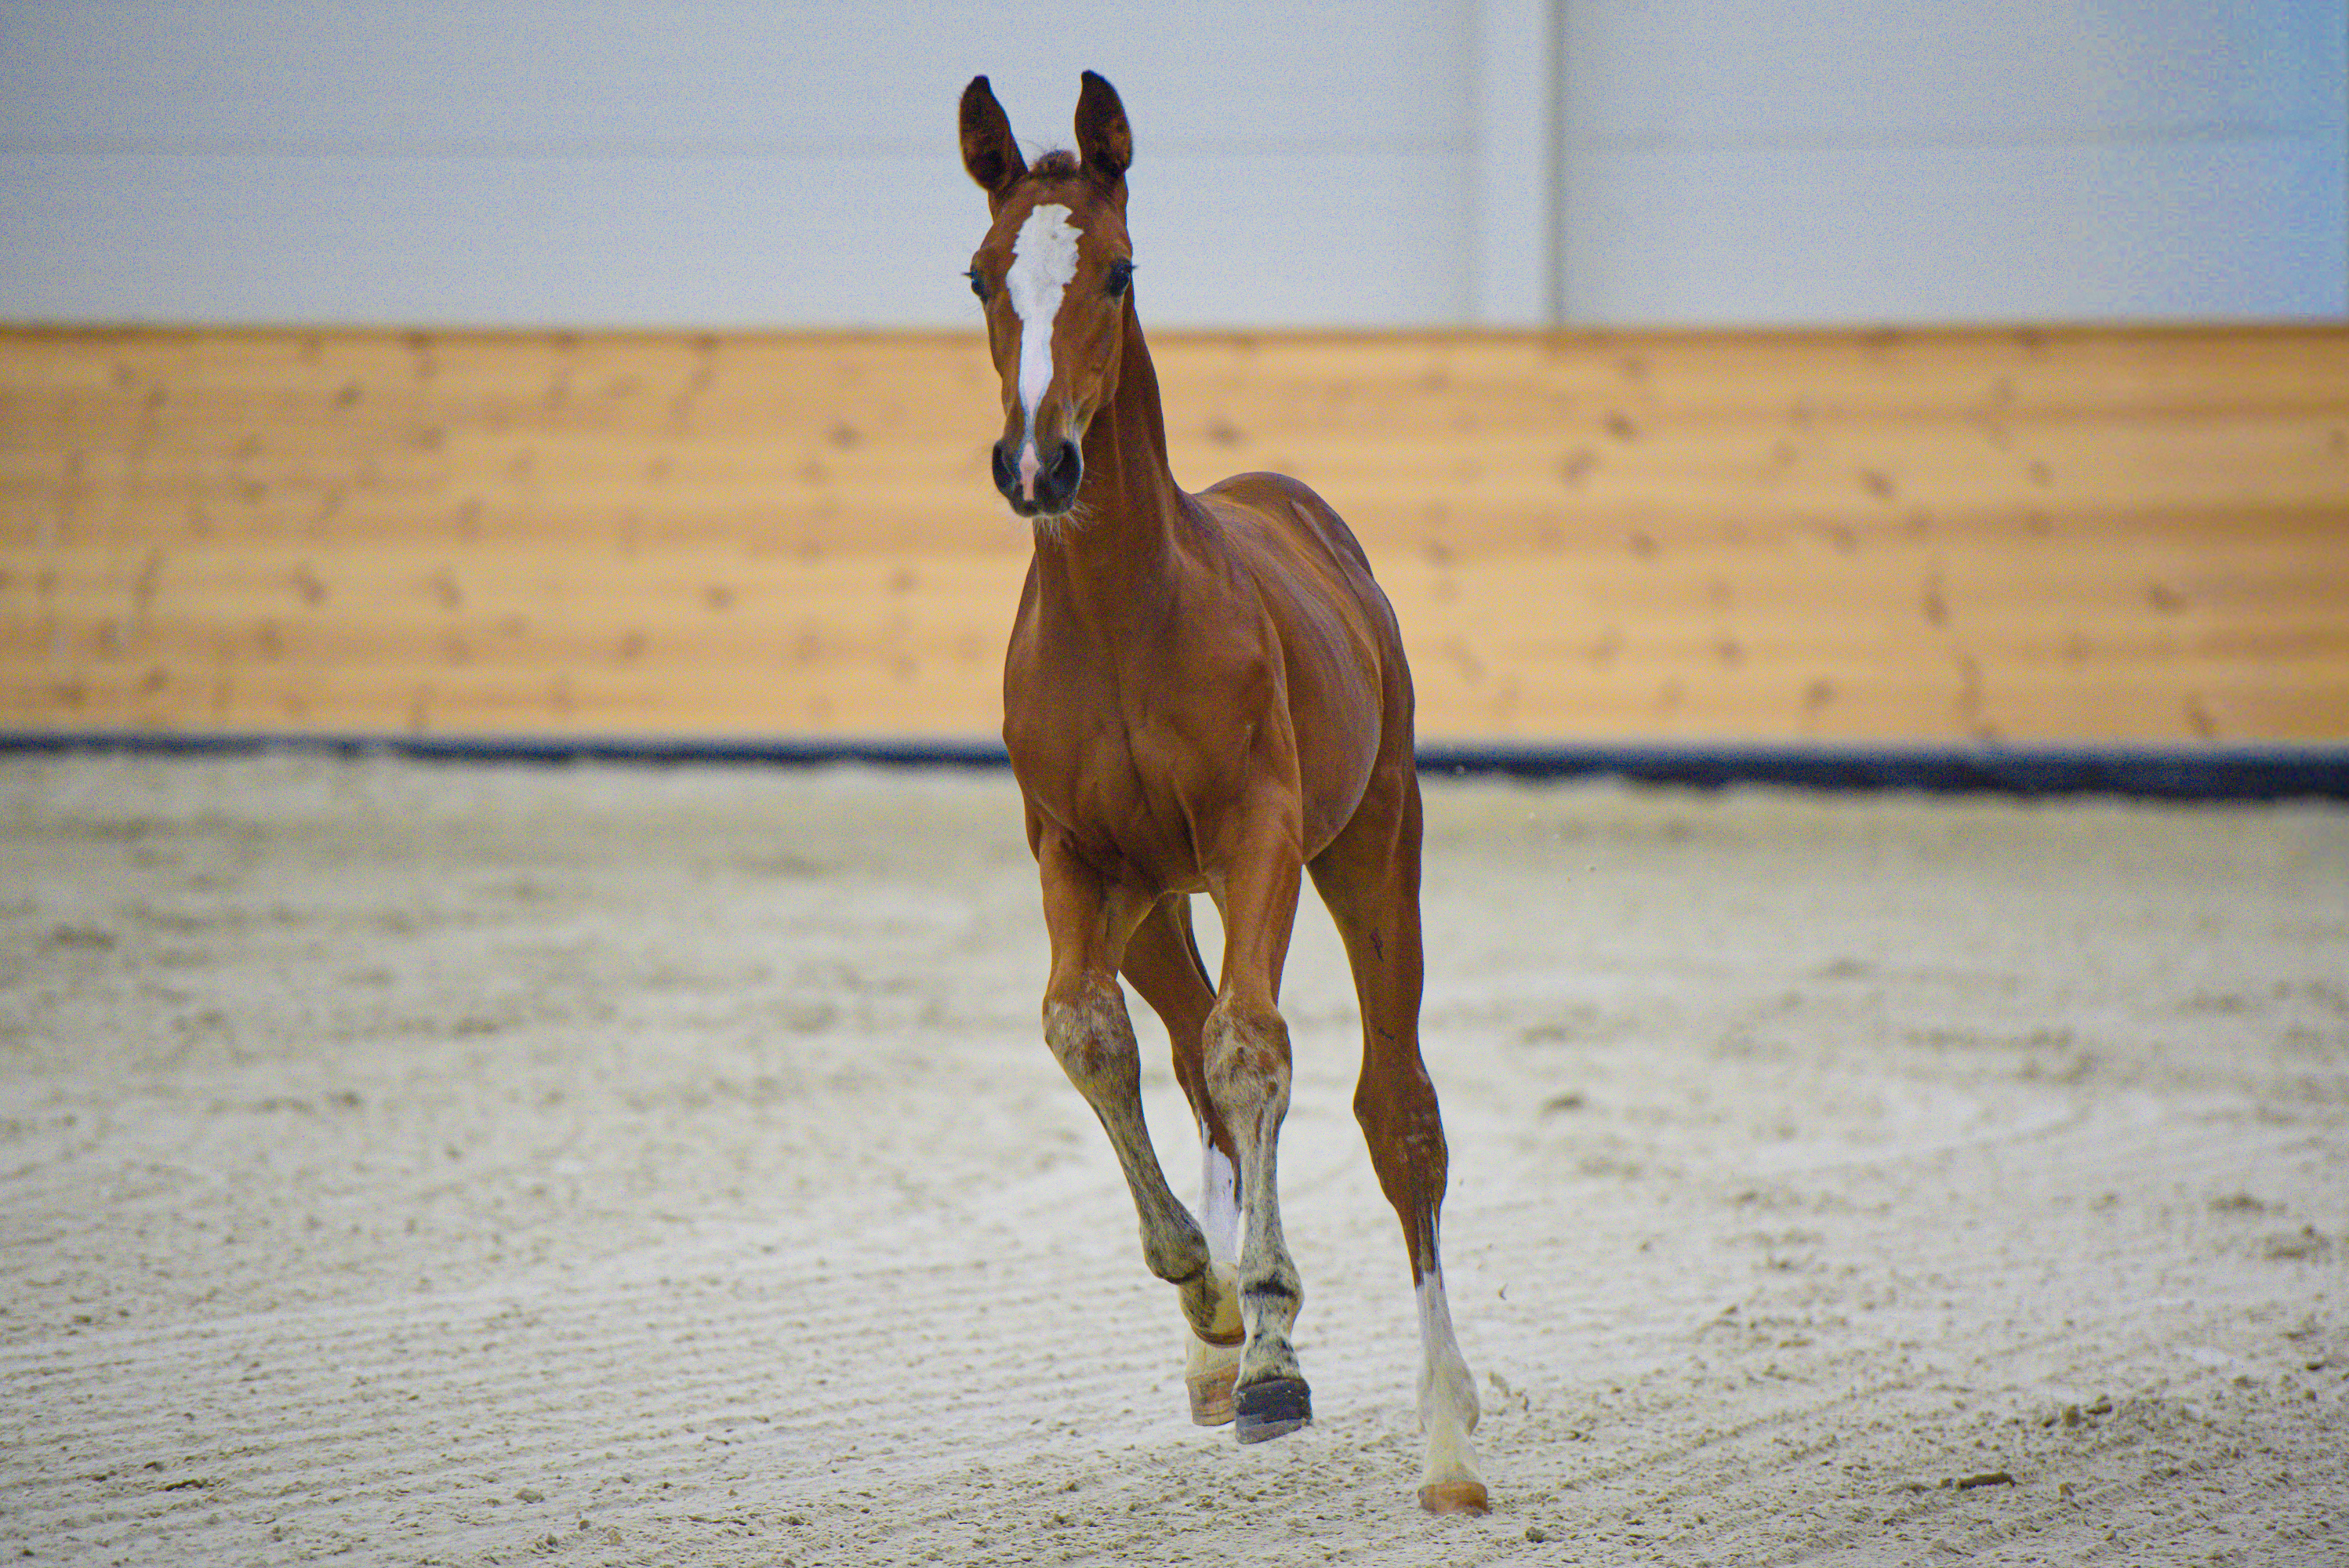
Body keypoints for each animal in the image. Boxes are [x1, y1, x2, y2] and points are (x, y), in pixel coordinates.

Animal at [958, 71, 1488, 1515]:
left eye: (1120, 271)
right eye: (978, 276)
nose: (1037, 468)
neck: (1126, 616)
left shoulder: (1259, 837)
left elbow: (1259, 1053)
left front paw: (1270, 1351)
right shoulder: (1070, 855)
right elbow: (1089, 1035)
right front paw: (1208, 1301)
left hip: (1371, 846)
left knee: (1396, 1113)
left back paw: (1446, 1437)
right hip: (1154, 902)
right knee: (1186, 1055)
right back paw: (1220, 1346)